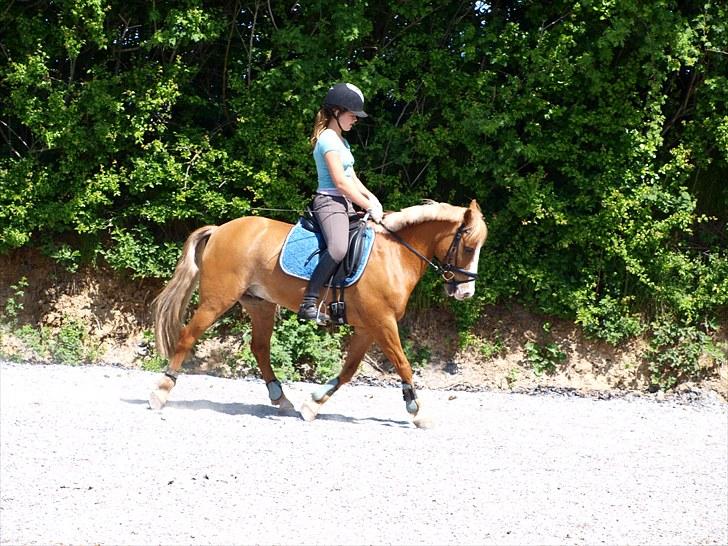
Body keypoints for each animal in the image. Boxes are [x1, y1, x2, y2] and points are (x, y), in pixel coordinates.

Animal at [149, 199, 487, 428]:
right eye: (469, 247)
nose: (465, 293)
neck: (395, 254)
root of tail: (220, 229)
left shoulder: (369, 327)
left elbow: (349, 370)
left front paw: (313, 404)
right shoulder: (382, 322)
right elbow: (403, 364)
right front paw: (418, 411)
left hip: (260, 304)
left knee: (260, 348)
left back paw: (281, 399)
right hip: (217, 300)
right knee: (188, 336)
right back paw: (161, 392)